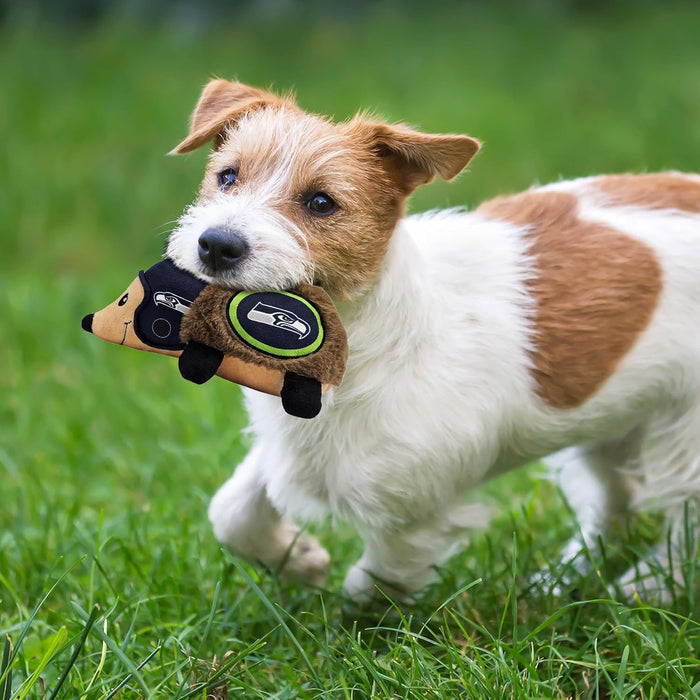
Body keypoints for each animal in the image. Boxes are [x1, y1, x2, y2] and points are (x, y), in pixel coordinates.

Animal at [167, 78, 700, 600]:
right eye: (227, 177)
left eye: (321, 202)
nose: (216, 244)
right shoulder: (289, 450)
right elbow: (231, 512)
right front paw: (298, 560)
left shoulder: (414, 514)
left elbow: (373, 585)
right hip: (611, 421)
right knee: (616, 500)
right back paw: (562, 582)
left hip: (683, 435)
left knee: (683, 519)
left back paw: (653, 586)